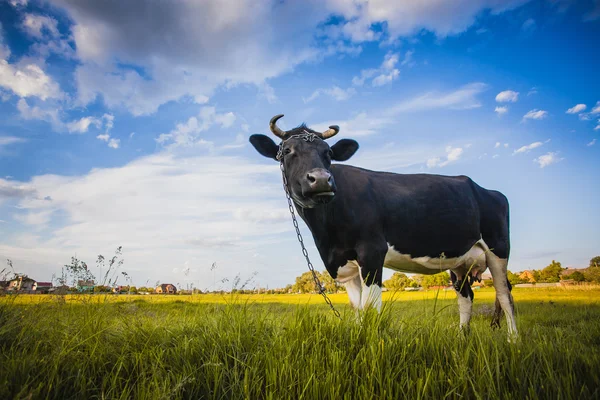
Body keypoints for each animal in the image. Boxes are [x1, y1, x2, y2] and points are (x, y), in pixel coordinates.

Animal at [248, 114, 516, 340]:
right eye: (287, 151)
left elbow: (370, 307)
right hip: (459, 261)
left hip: (498, 248)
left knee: (505, 295)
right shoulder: (344, 264)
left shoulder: (372, 251)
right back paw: (462, 337)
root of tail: (487, 190)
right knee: (466, 295)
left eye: (328, 153)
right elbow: (357, 310)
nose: (322, 179)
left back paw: (513, 340)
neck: (326, 235)